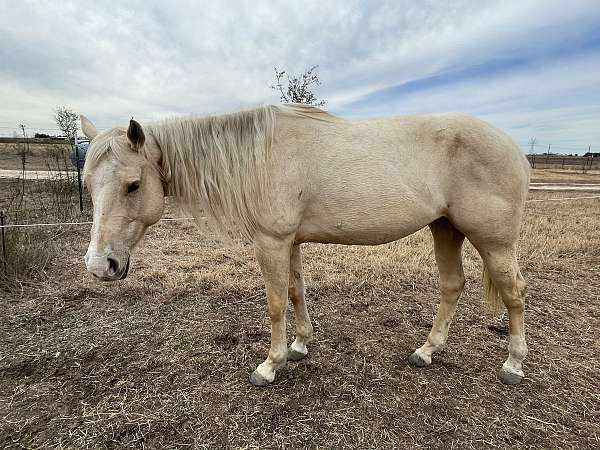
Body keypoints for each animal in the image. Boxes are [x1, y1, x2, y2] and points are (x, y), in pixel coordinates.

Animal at [81, 104, 528, 386]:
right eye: (88, 183)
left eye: (133, 185)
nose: (100, 265)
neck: (259, 157)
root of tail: (516, 149)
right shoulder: (289, 242)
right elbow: (296, 291)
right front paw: (299, 345)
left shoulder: (271, 242)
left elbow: (276, 302)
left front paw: (270, 365)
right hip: (446, 229)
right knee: (453, 286)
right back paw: (427, 351)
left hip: (493, 241)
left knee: (514, 293)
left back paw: (513, 364)